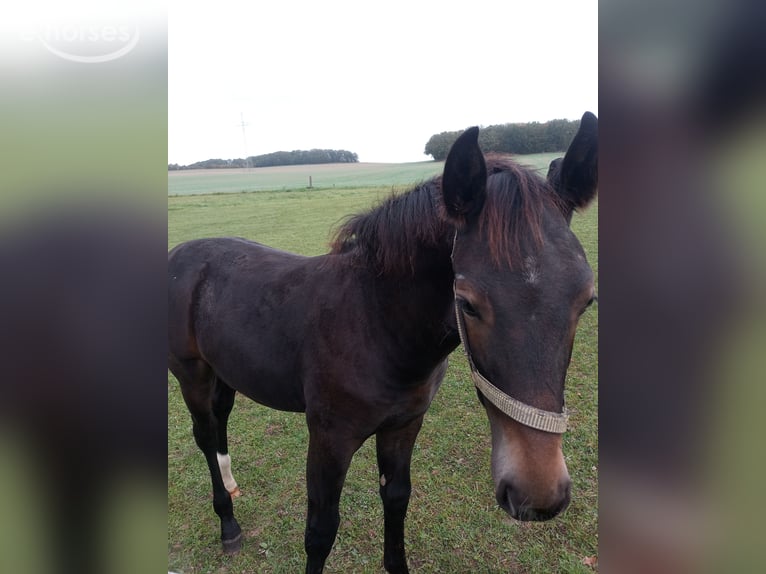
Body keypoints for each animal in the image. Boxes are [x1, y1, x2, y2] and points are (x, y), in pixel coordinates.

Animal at [167, 111, 598, 573]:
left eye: (586, 300)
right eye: (467, 303)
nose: (539, 494)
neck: (377, 325)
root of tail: (179, 254)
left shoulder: (403, 425)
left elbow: (396, 500)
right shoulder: (329, 438)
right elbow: (320, 530)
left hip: (225, 370)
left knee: (220, 420)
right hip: (191, 375)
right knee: (205, 434)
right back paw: (228, 524)